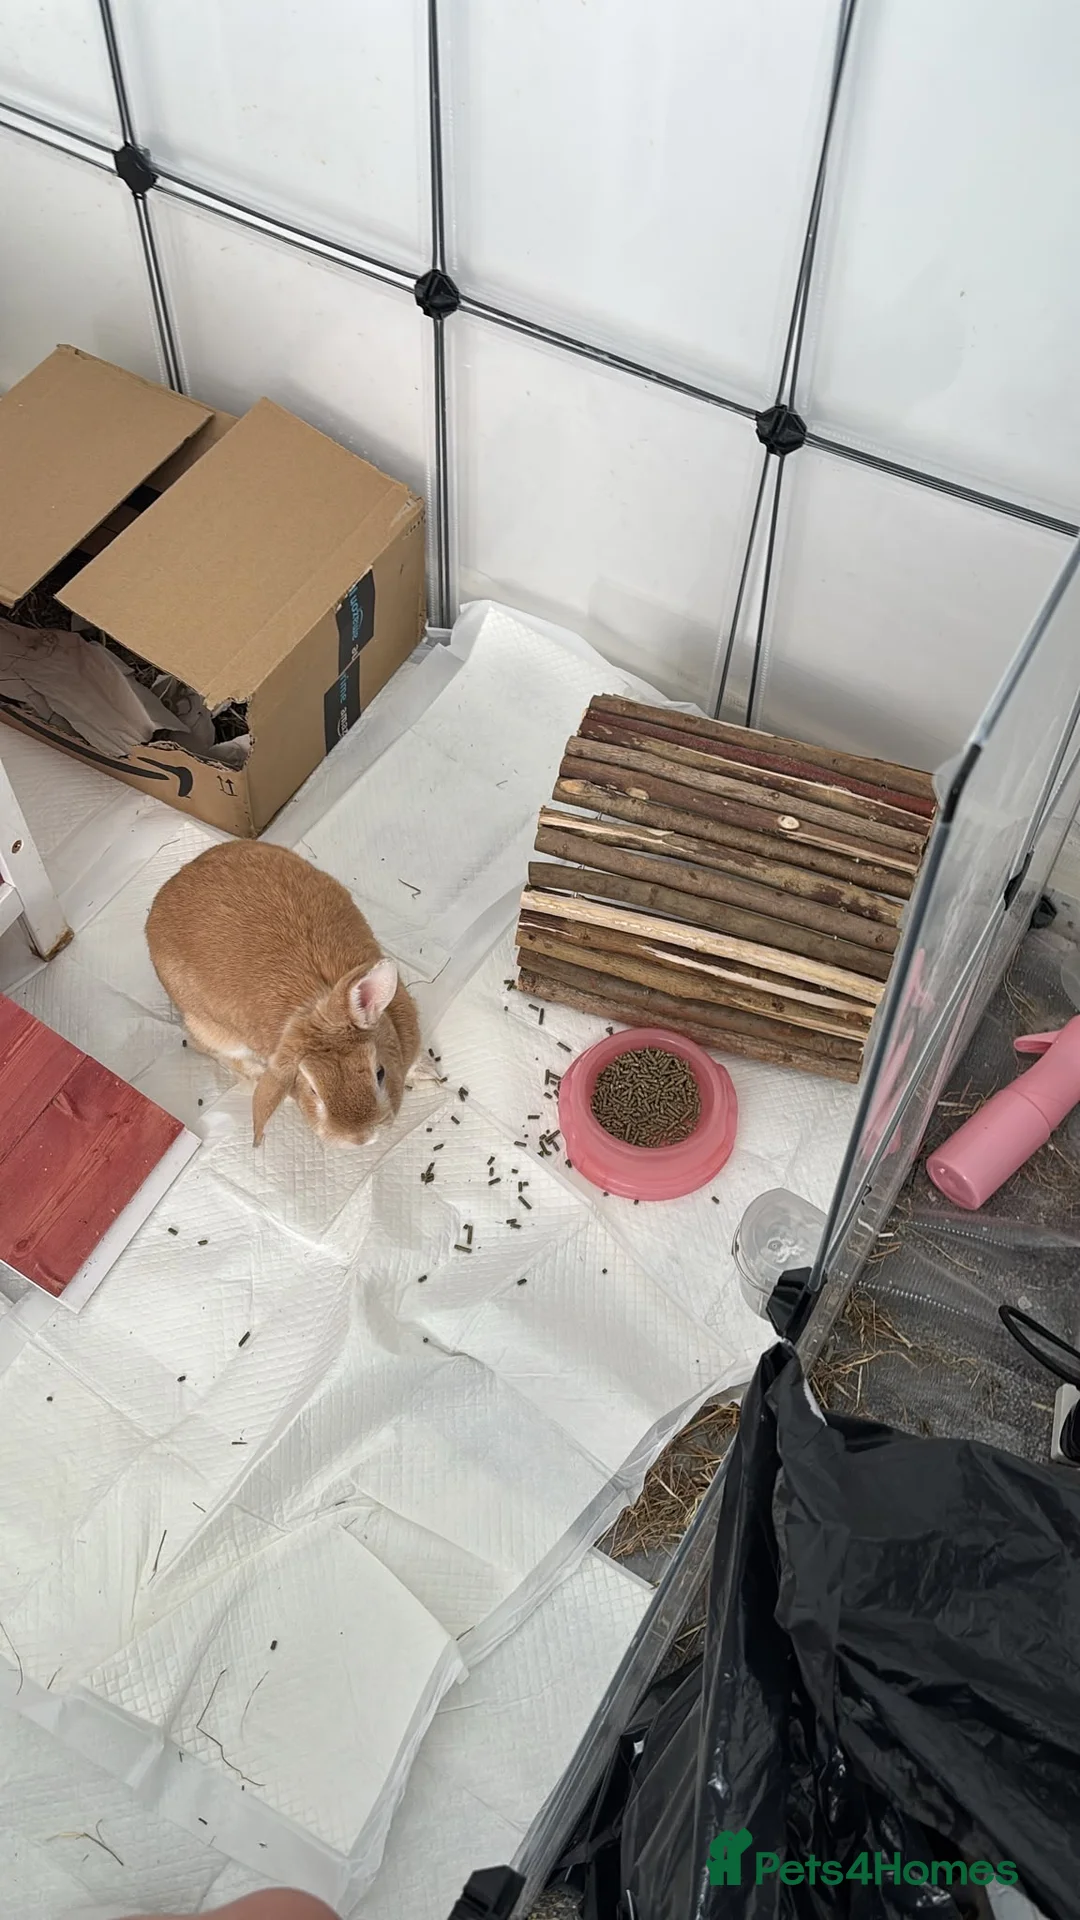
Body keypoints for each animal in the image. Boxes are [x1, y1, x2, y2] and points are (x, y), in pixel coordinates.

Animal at [146, 840, 421, 1148]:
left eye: (380, 1073)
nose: (360, 1139)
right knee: (209, 1049)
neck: (314, 1000)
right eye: (313, 1091)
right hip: (210, 1028)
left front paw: (426, 1075)